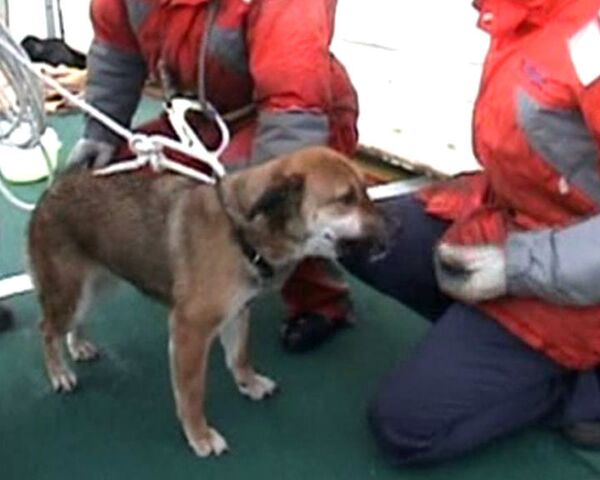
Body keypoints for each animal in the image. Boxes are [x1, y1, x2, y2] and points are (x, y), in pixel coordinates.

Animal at [28, 146, 386, 458]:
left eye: (366, 191)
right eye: (346, 199)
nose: (392, 231)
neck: (241, 234)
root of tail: (56, 186)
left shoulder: (237, 312)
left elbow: (240, 356)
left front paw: (249, 383)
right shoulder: (190, 331)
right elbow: (191, 394)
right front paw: (199, 435)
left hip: (97, 285)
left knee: (73, 324)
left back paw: (78, 345)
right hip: (70, 292)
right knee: (46, 329)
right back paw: (59, 373)